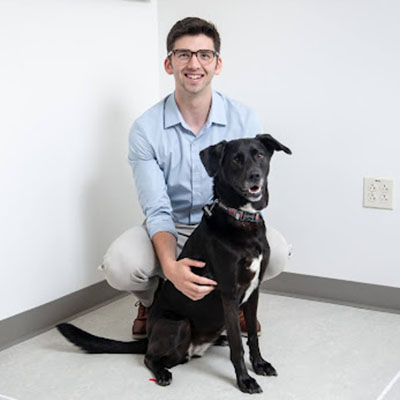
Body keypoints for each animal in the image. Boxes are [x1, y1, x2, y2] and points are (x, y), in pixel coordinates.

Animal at [57, 134, 290, 394]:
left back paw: (219, 339)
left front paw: (259, 364)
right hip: (179, 325)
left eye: (259, 155)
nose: (254, 176)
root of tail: (149, 337)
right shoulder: (229, 293)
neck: (241, 219)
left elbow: (251, 337)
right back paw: (162, 373)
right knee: (150, 357)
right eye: (236, 160)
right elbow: (238, 346)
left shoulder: (254, 290)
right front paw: (245, 380)